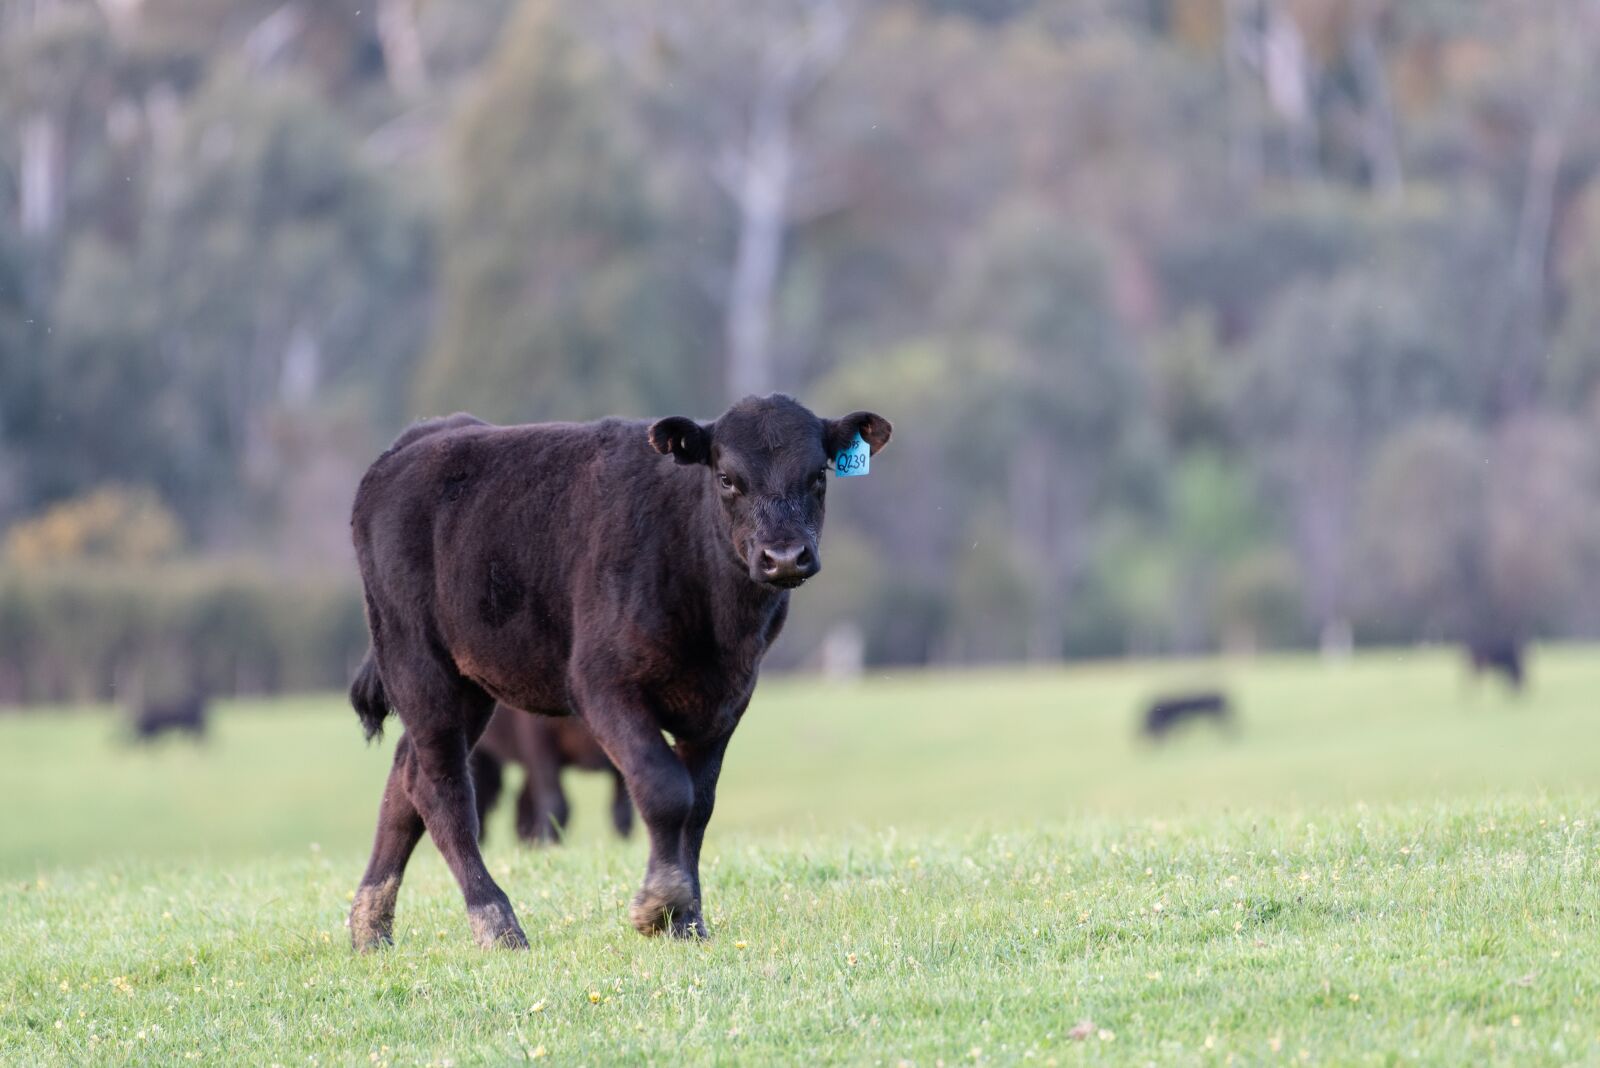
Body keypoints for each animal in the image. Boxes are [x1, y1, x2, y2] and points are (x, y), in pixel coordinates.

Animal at [470, 704, 633, 844]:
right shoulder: (538, 740)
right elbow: (556, 801)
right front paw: (550, 844)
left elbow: (621, 810)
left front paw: (622, 844)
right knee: (482, 796)